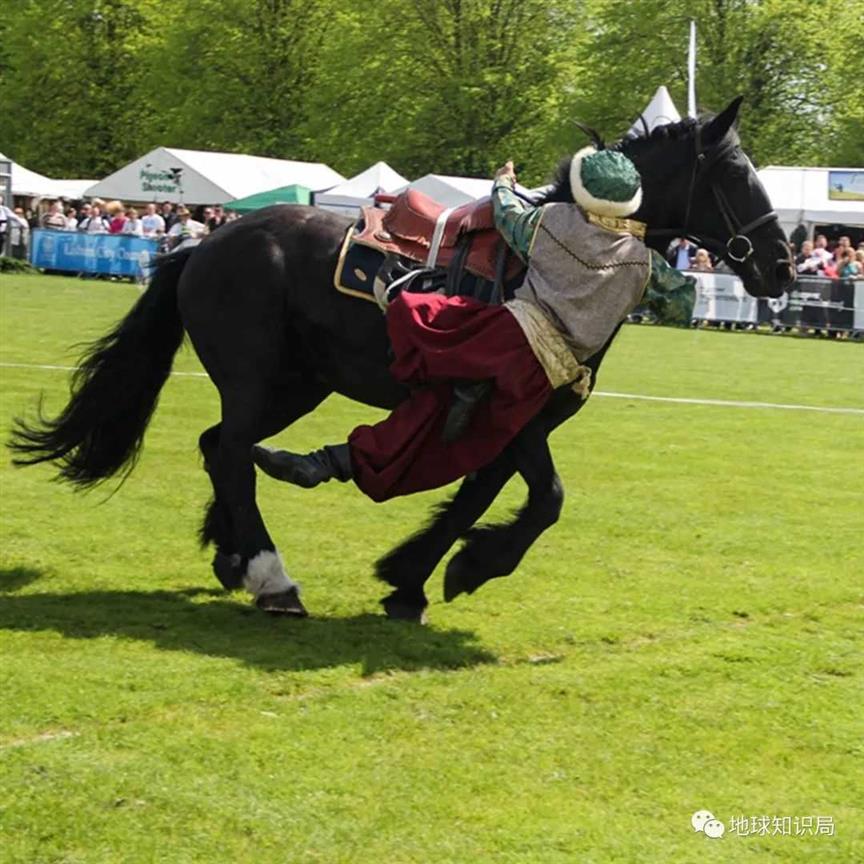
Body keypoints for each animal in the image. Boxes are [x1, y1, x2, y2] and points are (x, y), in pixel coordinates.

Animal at [11, 99, 796, 620]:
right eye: (733, 173)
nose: (783, 265)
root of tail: (204, 243)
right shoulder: (518, 416)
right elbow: (544, 499)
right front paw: (468, 566)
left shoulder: (506, 424)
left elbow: (484, 494)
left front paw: (416, 578)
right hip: (260, 378)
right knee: (232, 451)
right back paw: (272, 576)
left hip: (297, 384)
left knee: (219, 446)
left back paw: (234, 556)